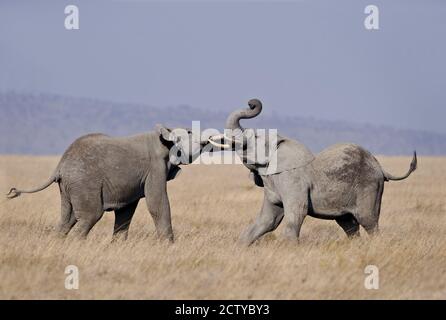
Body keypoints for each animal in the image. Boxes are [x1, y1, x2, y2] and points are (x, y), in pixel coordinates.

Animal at [6, 124, 213, 241]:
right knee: (89, 216)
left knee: (67, 219)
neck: (163, 139)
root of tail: (60, 165)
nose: (207, 140)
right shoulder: (155, 168)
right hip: (84, 183)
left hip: (67, 187)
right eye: (189, 132)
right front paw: (168, 246)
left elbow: (126, 211)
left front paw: (118, 245)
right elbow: (157, 204)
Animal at [210, 99, 418, 246]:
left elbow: (296, 213)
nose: (251, 103)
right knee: (349, 225)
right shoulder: (271, 183)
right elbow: (268, 221)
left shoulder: (292, 180)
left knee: (368, 221)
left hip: (370, 186)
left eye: (253, 137)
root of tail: (381, 167)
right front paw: (240, 248)